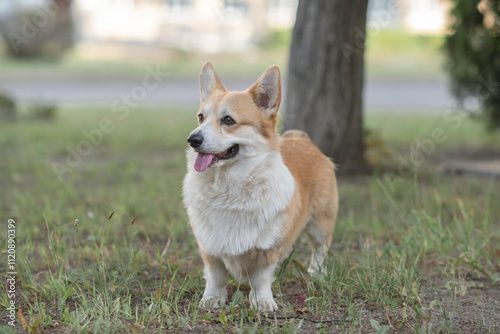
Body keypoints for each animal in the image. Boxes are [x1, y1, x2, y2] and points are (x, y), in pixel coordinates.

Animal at [182, 62, 338, 310]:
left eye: (228, 120)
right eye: (200, 117)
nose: (192, 140)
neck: (228, 187)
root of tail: (302, 139)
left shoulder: (269, 247)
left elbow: (261, 278)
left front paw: (262, 302)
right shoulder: (209, 245)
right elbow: (216, 275)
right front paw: (212, 299)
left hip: (320, 224)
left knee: (320, 250)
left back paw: (317, 274)